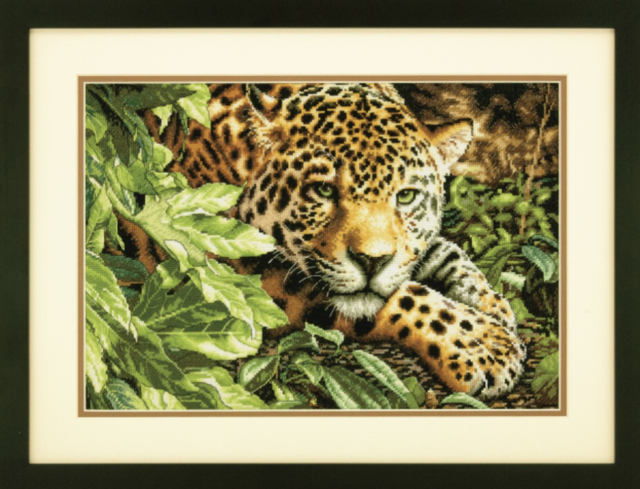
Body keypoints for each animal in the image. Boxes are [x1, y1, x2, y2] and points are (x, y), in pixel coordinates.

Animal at [138, 82, 526, 399]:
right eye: (323, 190)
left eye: (405, 196)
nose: (372, 261)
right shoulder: (234, 273)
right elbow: (404, 296)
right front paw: (484, 345)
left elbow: (447, 254)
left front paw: (494, 307)